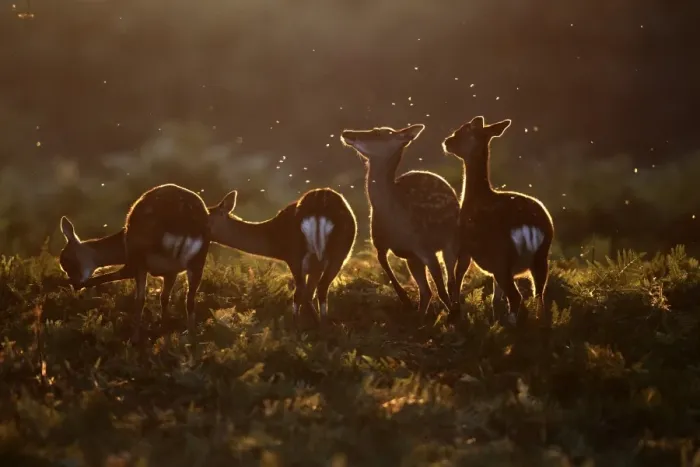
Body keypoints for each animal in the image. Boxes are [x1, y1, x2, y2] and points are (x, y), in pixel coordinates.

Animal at [58, 183, 211, 342]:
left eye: (66, 260)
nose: (75, 283)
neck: (122, 246)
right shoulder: (171, 272)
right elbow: (164, 298)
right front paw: (163, 332)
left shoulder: (135, 263)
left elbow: (137, 296)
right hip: (198, 260)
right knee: (190, 299)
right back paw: (191, 337)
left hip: (142, 258)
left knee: (140, 299)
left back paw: (135, 338)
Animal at [207, 187, 357, 324]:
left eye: (206, 215)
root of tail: (319, 208)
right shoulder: (314, 267)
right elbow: (309, 293)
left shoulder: (295, 258)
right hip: (330, 255)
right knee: (314, 290)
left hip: (302, 254)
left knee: (302, 292)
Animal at [339, 123, 461, 318]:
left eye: (378, 133)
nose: (347, 133)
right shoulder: (381, 242)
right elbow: (384, 264)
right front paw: (405, 300)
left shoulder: (424, 245)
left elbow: (442, 289)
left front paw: (452, 316)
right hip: (414, 258)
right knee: (426, 291)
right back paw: (420, 317)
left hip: (451, 240)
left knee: (450, 282)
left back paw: (453, 310)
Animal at [442, 116, 554, 328]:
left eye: (464, 130)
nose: (447, 141)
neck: (474, 197)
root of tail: (530, 228)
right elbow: (495, 298)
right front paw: (493, 320)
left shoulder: (464, 246)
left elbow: (457, 278)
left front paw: (455, 313)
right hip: (541, 258)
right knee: (539, 296)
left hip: (502, 258)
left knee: (517, 297)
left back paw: (512, 325)